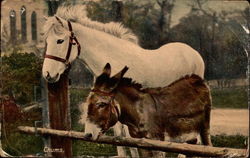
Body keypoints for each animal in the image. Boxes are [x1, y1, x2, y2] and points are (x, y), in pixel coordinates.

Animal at [41, 5, 205, 157]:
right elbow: (120, 141)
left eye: (60, 40)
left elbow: (134, 142)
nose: (48, 74)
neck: (115, 63)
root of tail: (193, 53)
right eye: (47, 41)